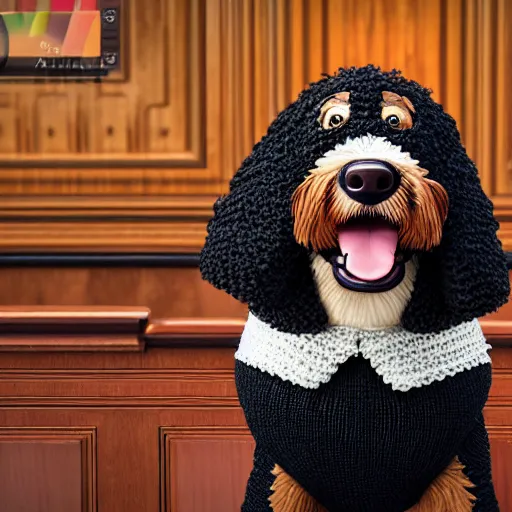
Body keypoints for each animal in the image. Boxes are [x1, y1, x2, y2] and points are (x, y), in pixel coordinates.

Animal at [199, 66, 508, 510]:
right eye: (332, 121)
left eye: (397, 122)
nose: (371, 178)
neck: (364, 317)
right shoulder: (280, 478)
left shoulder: (459, 471)